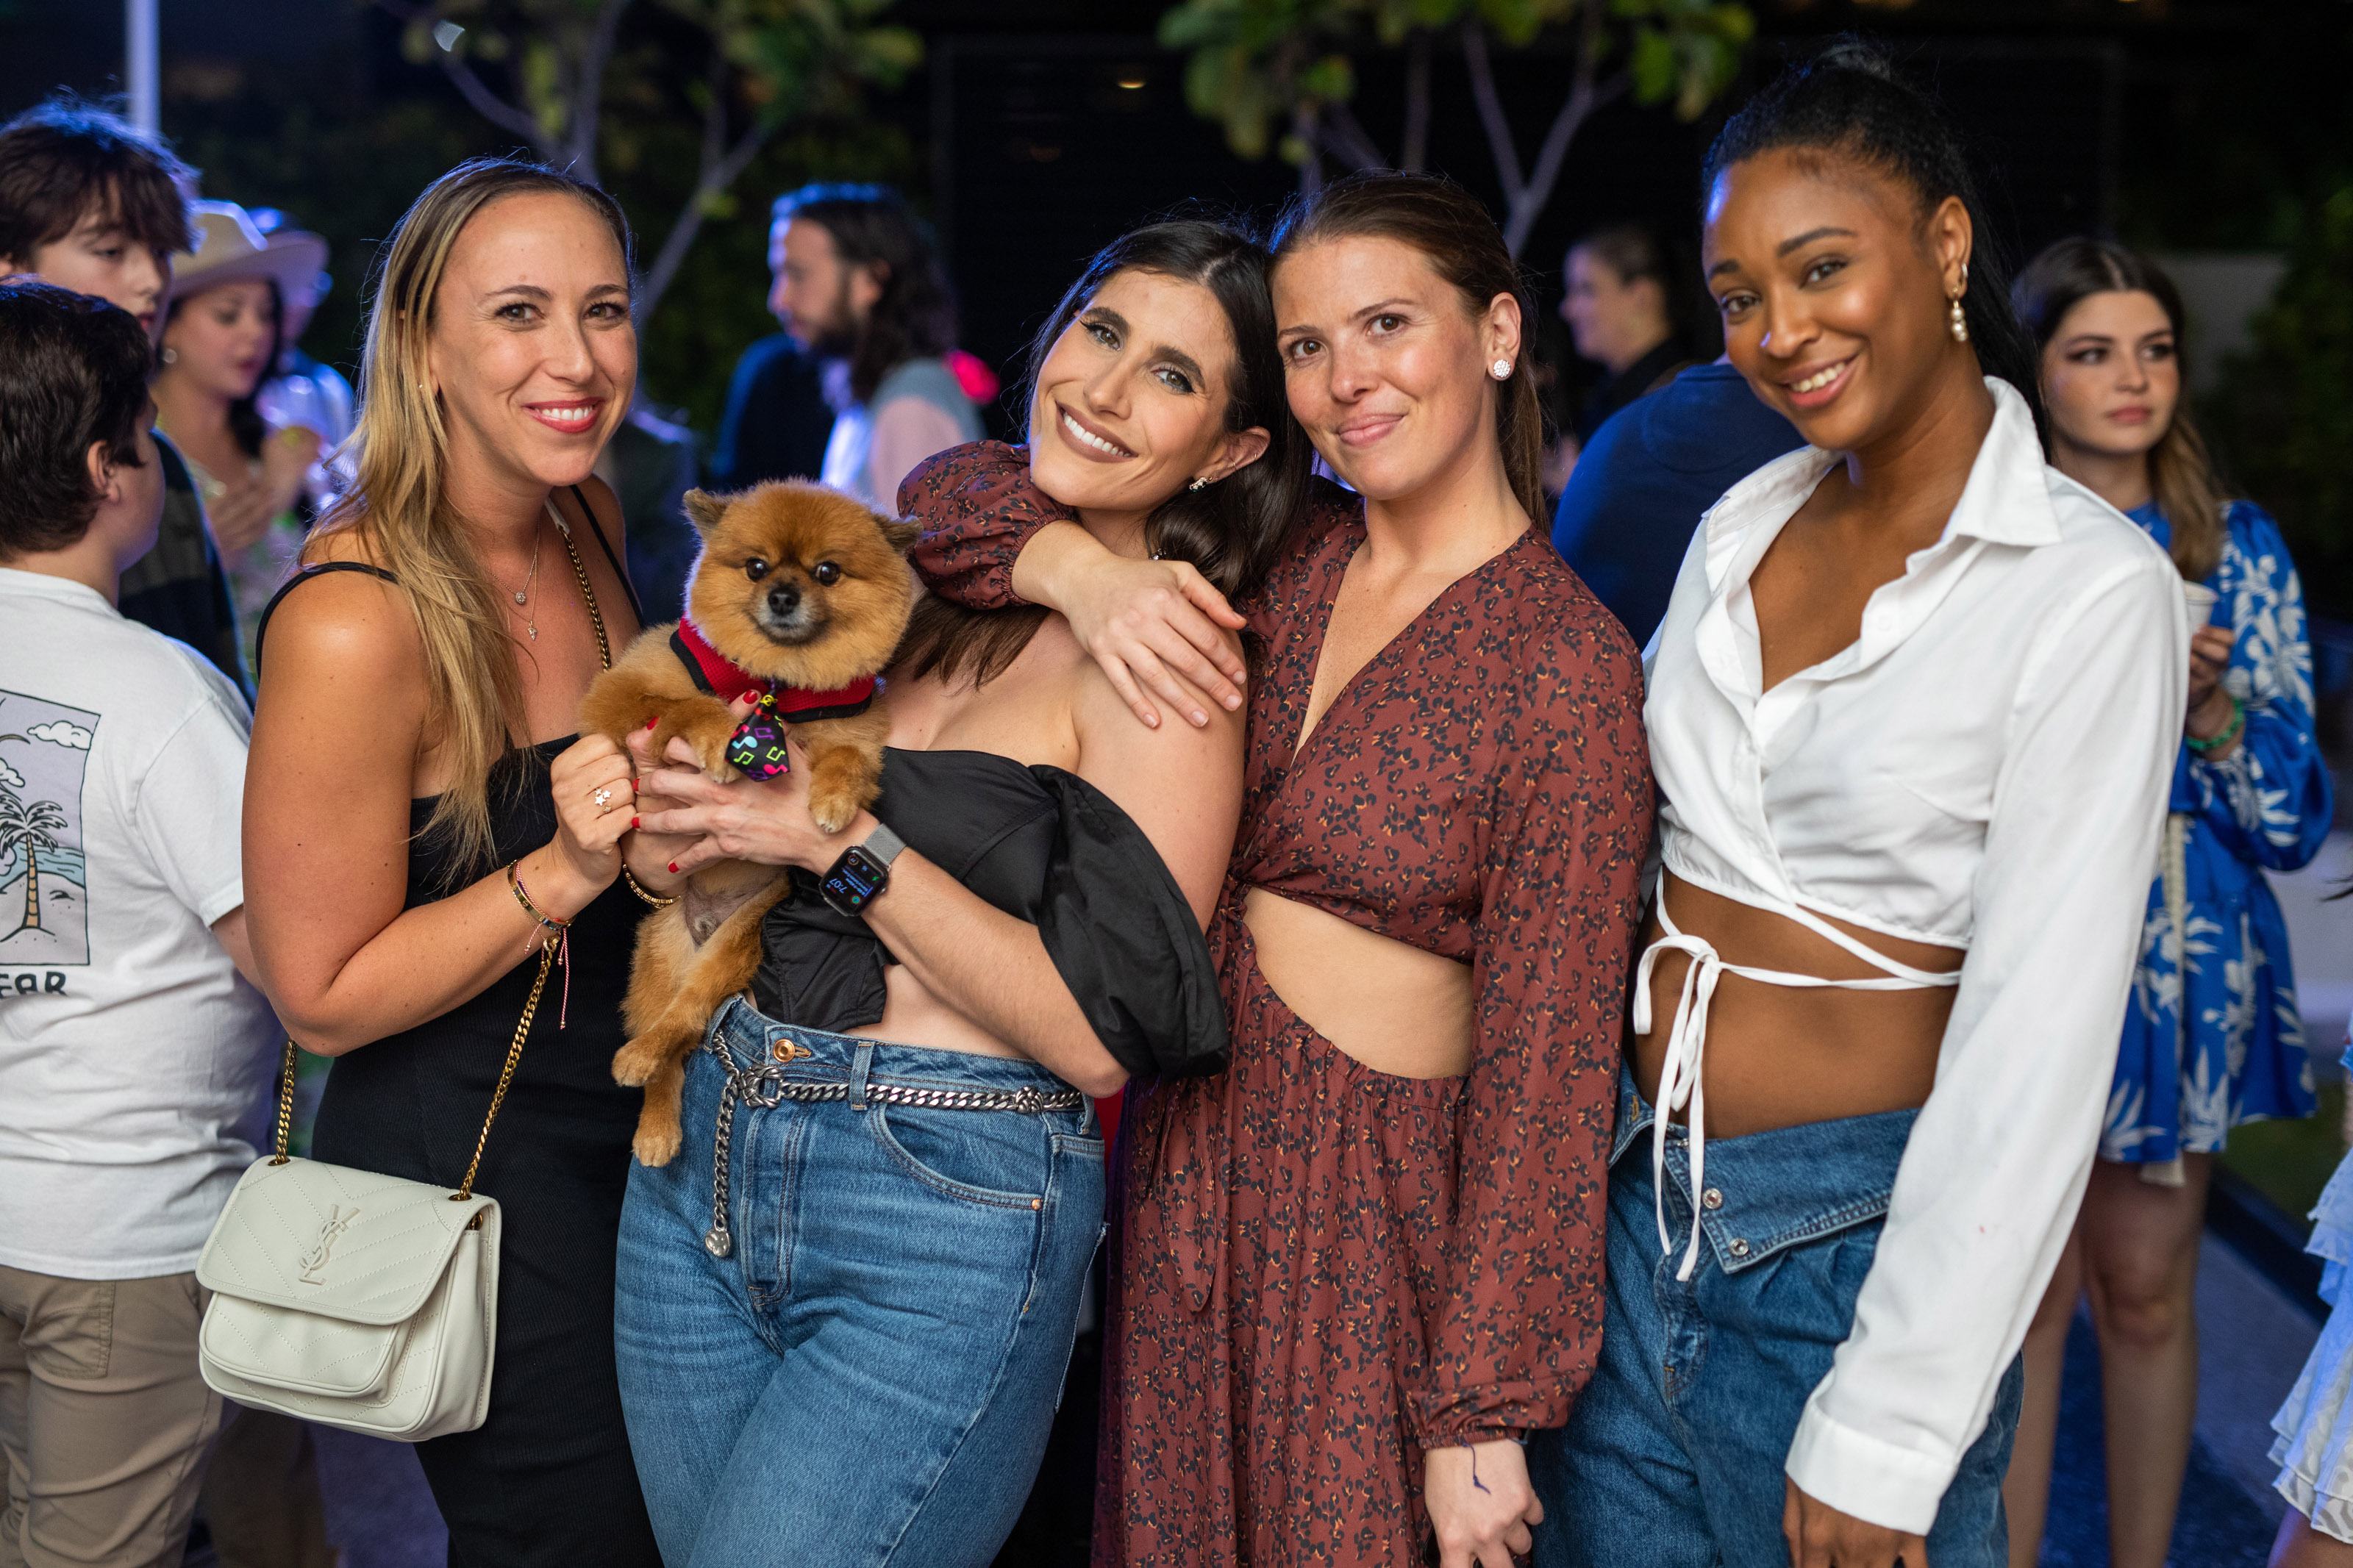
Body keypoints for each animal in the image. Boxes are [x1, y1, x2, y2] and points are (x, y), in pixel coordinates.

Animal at [579, 484, 918, 1170]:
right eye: (757, 567)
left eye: (827, 572)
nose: (783, 595)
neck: (776, 683)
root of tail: (704, 925)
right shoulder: (620, 695)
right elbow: (683, 705)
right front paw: (719, 735)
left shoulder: (858, 738)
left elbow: (846, 759)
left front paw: (832, 802)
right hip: (660, 950)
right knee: (668, 1049)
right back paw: (653, 1114)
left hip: (742, 936)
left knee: (686, 1020)